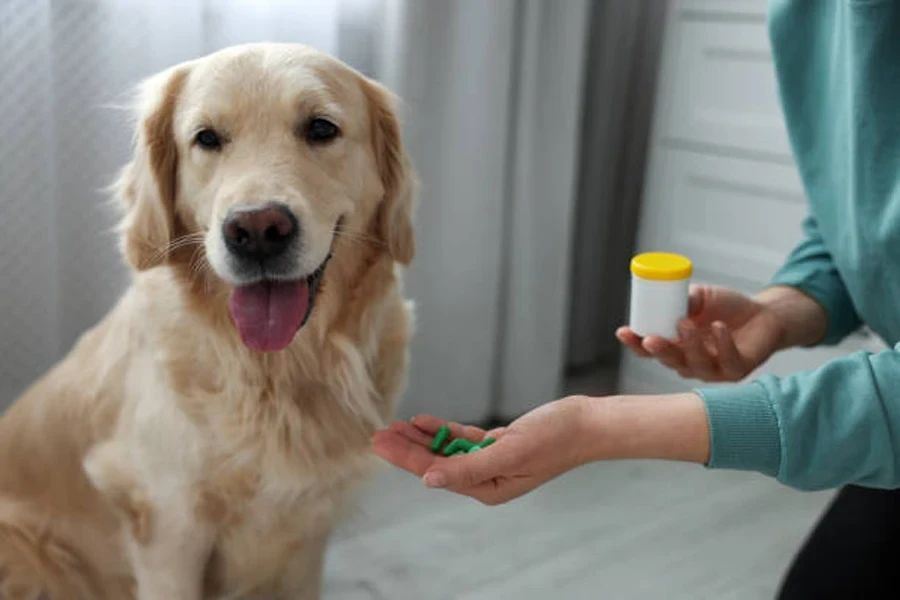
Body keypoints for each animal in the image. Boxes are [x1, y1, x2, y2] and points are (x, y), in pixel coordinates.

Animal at [0, 43, 416, 600]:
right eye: (207, 138)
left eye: (321, 128)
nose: (257, 230)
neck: (275, 372)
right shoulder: (169, 530)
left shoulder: (306, 537)